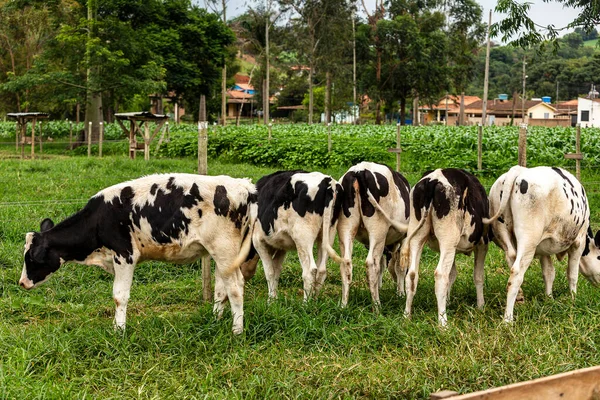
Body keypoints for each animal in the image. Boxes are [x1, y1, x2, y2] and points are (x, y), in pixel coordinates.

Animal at [18, 173, 258, 332]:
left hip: (225, 250)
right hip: (220, 255)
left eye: (31, 258)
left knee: (235, 288)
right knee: (221, 288)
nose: (21, 283)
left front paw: (119, 330)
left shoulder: (125, 255)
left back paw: (237, 331)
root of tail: (243, 186)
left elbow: (119, 296)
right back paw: (215, 320)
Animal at [247, 170, 342, 300]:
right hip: (328, 234)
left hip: (303, 236)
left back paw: (306, 303)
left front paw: (270, 300)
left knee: (310, 271)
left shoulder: (258, 241)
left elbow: (270, 272)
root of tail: (327, 181)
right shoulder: (281, 246)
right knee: (322, 270)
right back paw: (315, 300)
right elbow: (276, 270)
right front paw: (275, 299)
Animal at [338, 162, 412, 306]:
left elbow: (383, 266)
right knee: (372, 265)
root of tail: (359, 170)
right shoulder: (404, 238)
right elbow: (400, 266)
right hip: (378, 230)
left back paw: (344, 305)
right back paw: (377, 305)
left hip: (346, 228)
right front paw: (400, 293)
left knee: (346, 263)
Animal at [400, 167, 490, 326]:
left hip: (417, 235)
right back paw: (443, 322)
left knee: (412, 274)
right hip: (448, 239)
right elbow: (478, 276)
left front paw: (448, 301)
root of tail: (433, 179)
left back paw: (406, 316)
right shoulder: (482, 243)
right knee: (441, 275)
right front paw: (481, 306)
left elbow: (452, 274)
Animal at [486, 164, 600, 324]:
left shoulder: (543, 249)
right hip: (529, 239)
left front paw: (549, 299)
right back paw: (508, 320)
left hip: (503, 233)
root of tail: (518, 170)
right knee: (516, 273)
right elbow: (572, 274)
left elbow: (549, 272)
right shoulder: (579, 241)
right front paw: (573, 299)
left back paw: (520, 298)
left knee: (511, 258)